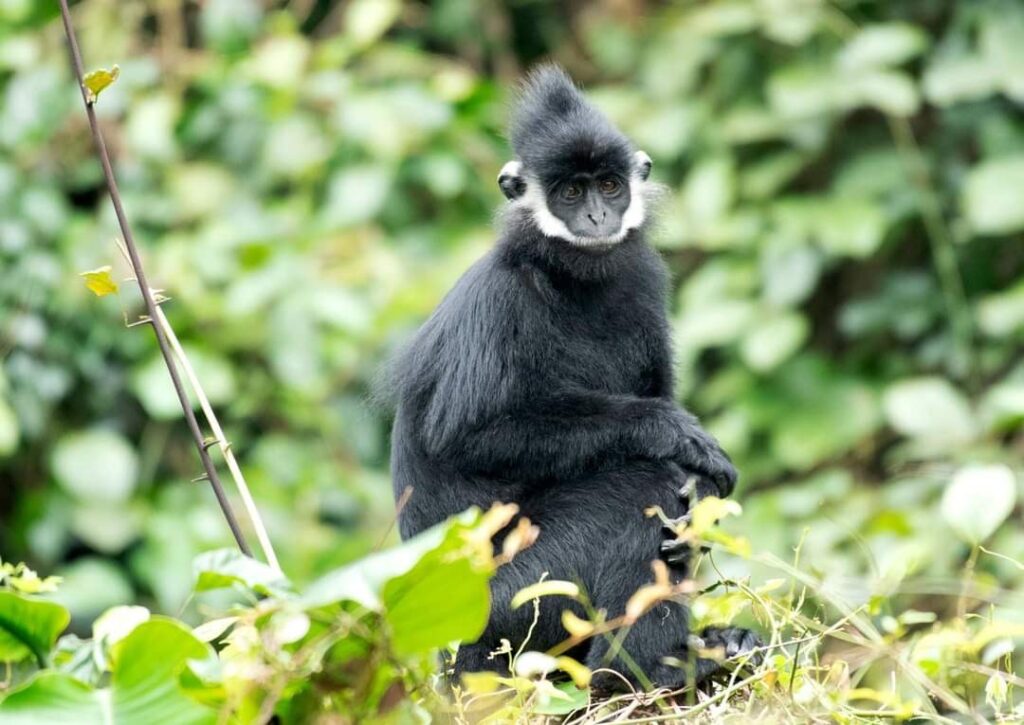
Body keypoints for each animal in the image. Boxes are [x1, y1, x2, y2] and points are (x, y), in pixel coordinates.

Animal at [389, 63, 761, 692]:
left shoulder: (643, 276)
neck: (568, 276)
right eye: (569, 192)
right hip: (508, 606)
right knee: (638, 488)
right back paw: (638, 675)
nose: (596, 217)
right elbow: (467, 435)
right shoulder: (498, 298)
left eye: (609, 186)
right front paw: (671, 431)